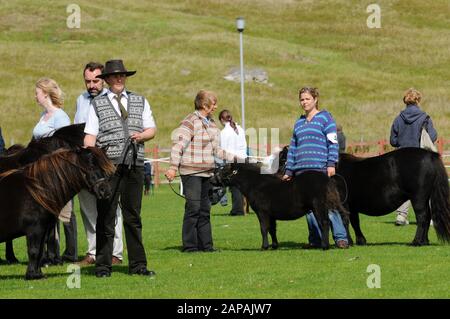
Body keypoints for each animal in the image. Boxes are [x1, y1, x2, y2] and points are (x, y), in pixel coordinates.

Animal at [0, 148, 114, 280]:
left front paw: (38, 273)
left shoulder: (43, 229)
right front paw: (32, 275)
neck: (37, 191)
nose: (105, 191)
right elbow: (34, 251)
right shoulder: (34, 229)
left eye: (104, 168)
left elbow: (40, 250)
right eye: (90, 166)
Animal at [211, 164, 348, 251]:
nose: (211, 180)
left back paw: (325, 246)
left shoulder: (262, 212)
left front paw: (264, 247)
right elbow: (272, 229)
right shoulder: (271, 215)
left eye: (223, 170)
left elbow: (263, 228)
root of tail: (327, 179)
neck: (257, 185)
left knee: (325, 223)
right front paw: (274, 246)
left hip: (318, 207)